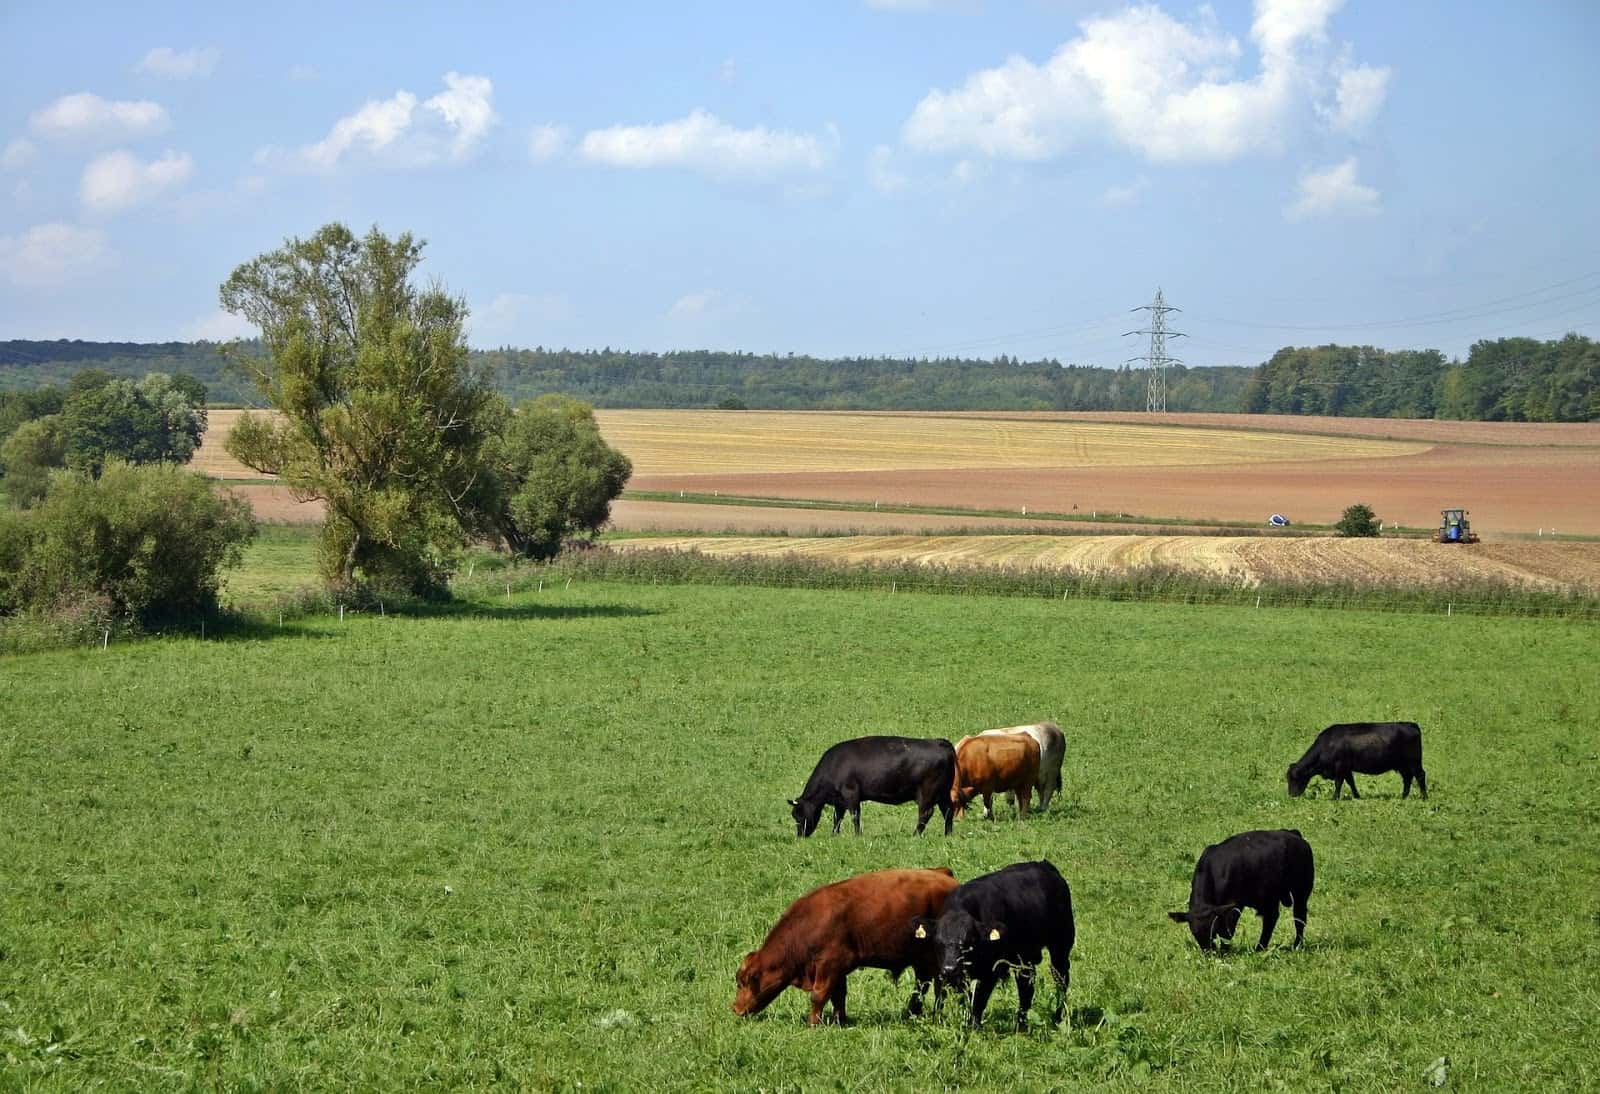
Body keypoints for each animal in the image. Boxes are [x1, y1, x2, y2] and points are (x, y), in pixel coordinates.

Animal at [732, 863, 953, 1023]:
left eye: (742, 982)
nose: (735, 1008)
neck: (807, 924)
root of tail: (943, 874)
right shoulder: (837, 969)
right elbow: (838, 995)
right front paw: (840, 1020)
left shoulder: (829, 965)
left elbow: (819, 995)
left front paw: (813, 1023)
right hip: (920, 958)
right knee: (922, 985)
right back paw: (912, 1013)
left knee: (939, 986)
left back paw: (935, 1016)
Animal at [784, 735, 947, 838]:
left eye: (799, 814)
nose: (800, 835)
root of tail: (939, 742)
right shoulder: (839, 800)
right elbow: (837, 818)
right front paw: (834, 835)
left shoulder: (851, 794)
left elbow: (855, 816)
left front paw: (857, 835)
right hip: (943, 794)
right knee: (947, 811)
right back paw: (947, 834)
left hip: (927, 793)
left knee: (925, 813)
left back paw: (915, 835)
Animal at [908, 857, 1068, 1030]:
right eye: (938, 942)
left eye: (969, 942)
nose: (950, 968)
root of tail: (1044, 864)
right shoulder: (945, 972)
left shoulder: (991, 971)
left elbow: (978, 1001)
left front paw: (974, 1028)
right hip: (1024, 958)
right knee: (1026, 986)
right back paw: (1021, 1026)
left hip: (1061, 945)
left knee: (1061, 980)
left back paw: (1058, 1018)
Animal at [1164, 831, 1312, 946]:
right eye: (1194, 933)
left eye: (1212, 931)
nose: (1209, 952)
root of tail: (1294, 835)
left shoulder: (1233, 906)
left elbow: (1227, 932)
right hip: (1270, 897)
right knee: (1271, 918)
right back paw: (1260, 947)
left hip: (1301, 892)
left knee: (1299, 917)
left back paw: (1297, 945)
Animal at [1280, 722, 1433, 799]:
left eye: (1294, 778)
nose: (1291, 795)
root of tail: (1410, 724)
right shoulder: (1347, 768)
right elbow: (1351, 782)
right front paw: (1357, 796)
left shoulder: (1340, 766)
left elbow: (1338, 783)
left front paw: (1334, 798)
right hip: (1402, 765)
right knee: (1407, 778)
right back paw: (1403, 797)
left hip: (1413, 761)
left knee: (1420, 775)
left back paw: (1424, 797)